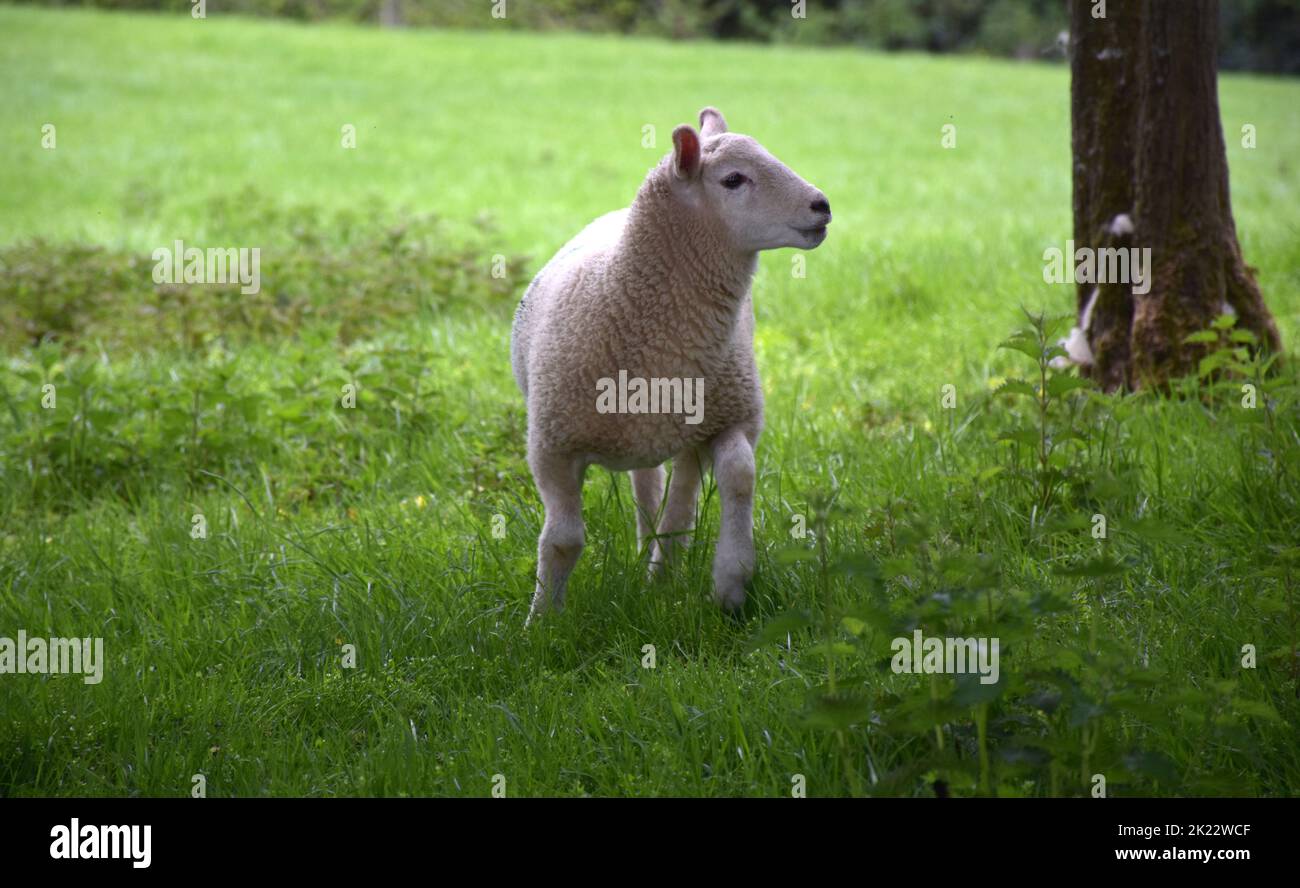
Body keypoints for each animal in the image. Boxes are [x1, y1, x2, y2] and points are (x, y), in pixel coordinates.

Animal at [511, 106, 831, 623]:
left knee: (672, 502)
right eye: (733, 179)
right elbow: (563, 539)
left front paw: (731, 583)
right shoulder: (552, 446)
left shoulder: (730, 416)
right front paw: (542, 621)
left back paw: (659, 576)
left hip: (684, 431)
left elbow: (739, 474)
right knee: (650, 493)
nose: (822, 207)